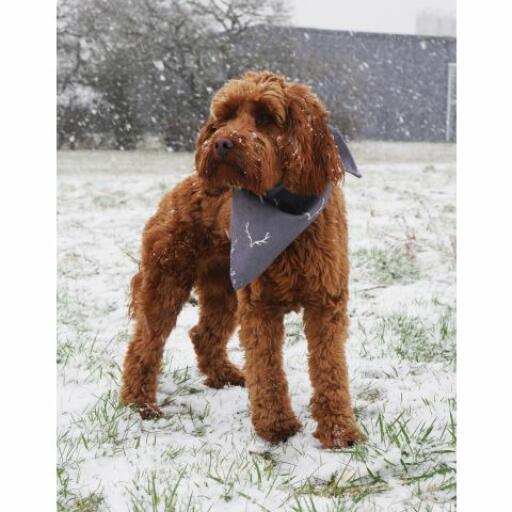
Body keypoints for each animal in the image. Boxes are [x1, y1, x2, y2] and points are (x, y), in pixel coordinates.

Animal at [121, 70, 364, 446]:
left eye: (265, 117)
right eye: (225, 116)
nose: (221, 142)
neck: (281, 205)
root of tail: (181, 188)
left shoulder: (327, 303)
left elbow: (330, 368)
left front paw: (338, 431)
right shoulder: (260, 306)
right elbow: (266, 367)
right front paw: (276, 426)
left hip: (223, 287)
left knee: (202, 334)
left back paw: (223, 376)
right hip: (167, 279)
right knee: (145, 343)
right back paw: (139, 403)